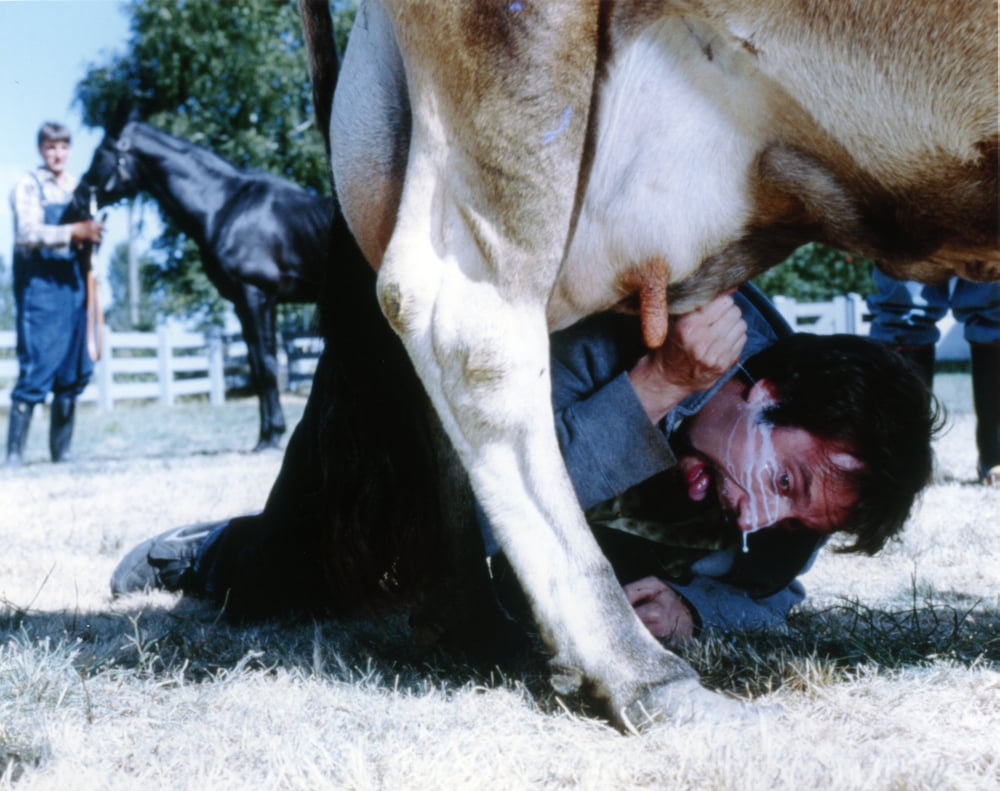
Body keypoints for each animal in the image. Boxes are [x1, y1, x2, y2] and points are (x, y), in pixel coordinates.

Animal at [299, 0, 998, 728]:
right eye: (782, 480)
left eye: (788, 503)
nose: (745, 521)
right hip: (516, 56)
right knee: (468, 328)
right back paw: (637, 669)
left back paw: (478, 629)